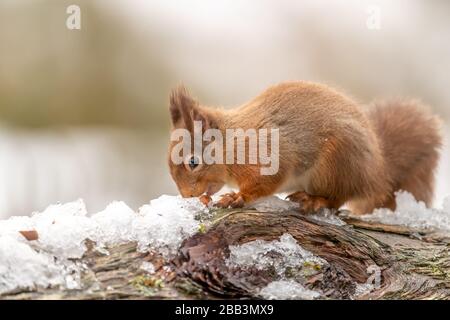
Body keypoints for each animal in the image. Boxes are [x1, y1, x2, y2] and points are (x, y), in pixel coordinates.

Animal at [167, 81, 442, 214]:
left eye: (193, 162)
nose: (187, 195)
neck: (231, 144)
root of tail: (378, 175)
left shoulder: (266, 155)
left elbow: (265, 182)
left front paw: (237, 197)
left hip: (335, 164)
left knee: (337, 199)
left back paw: (314, 200)